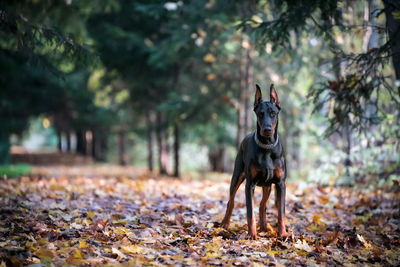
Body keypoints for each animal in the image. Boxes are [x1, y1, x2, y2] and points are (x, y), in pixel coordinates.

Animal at [219, 84, 288, 241]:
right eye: (260, 113)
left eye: (273, 113)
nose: (267, 129)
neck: (267, 147)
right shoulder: (249, 184)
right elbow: (250, 212)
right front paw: (252, 235)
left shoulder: (280, 184)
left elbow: (281, 212)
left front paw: (283, 234)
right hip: (237, 176)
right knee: (231, 201)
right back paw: (225, 224)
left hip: (268, 186)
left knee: (262, 205)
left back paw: (264, 227)